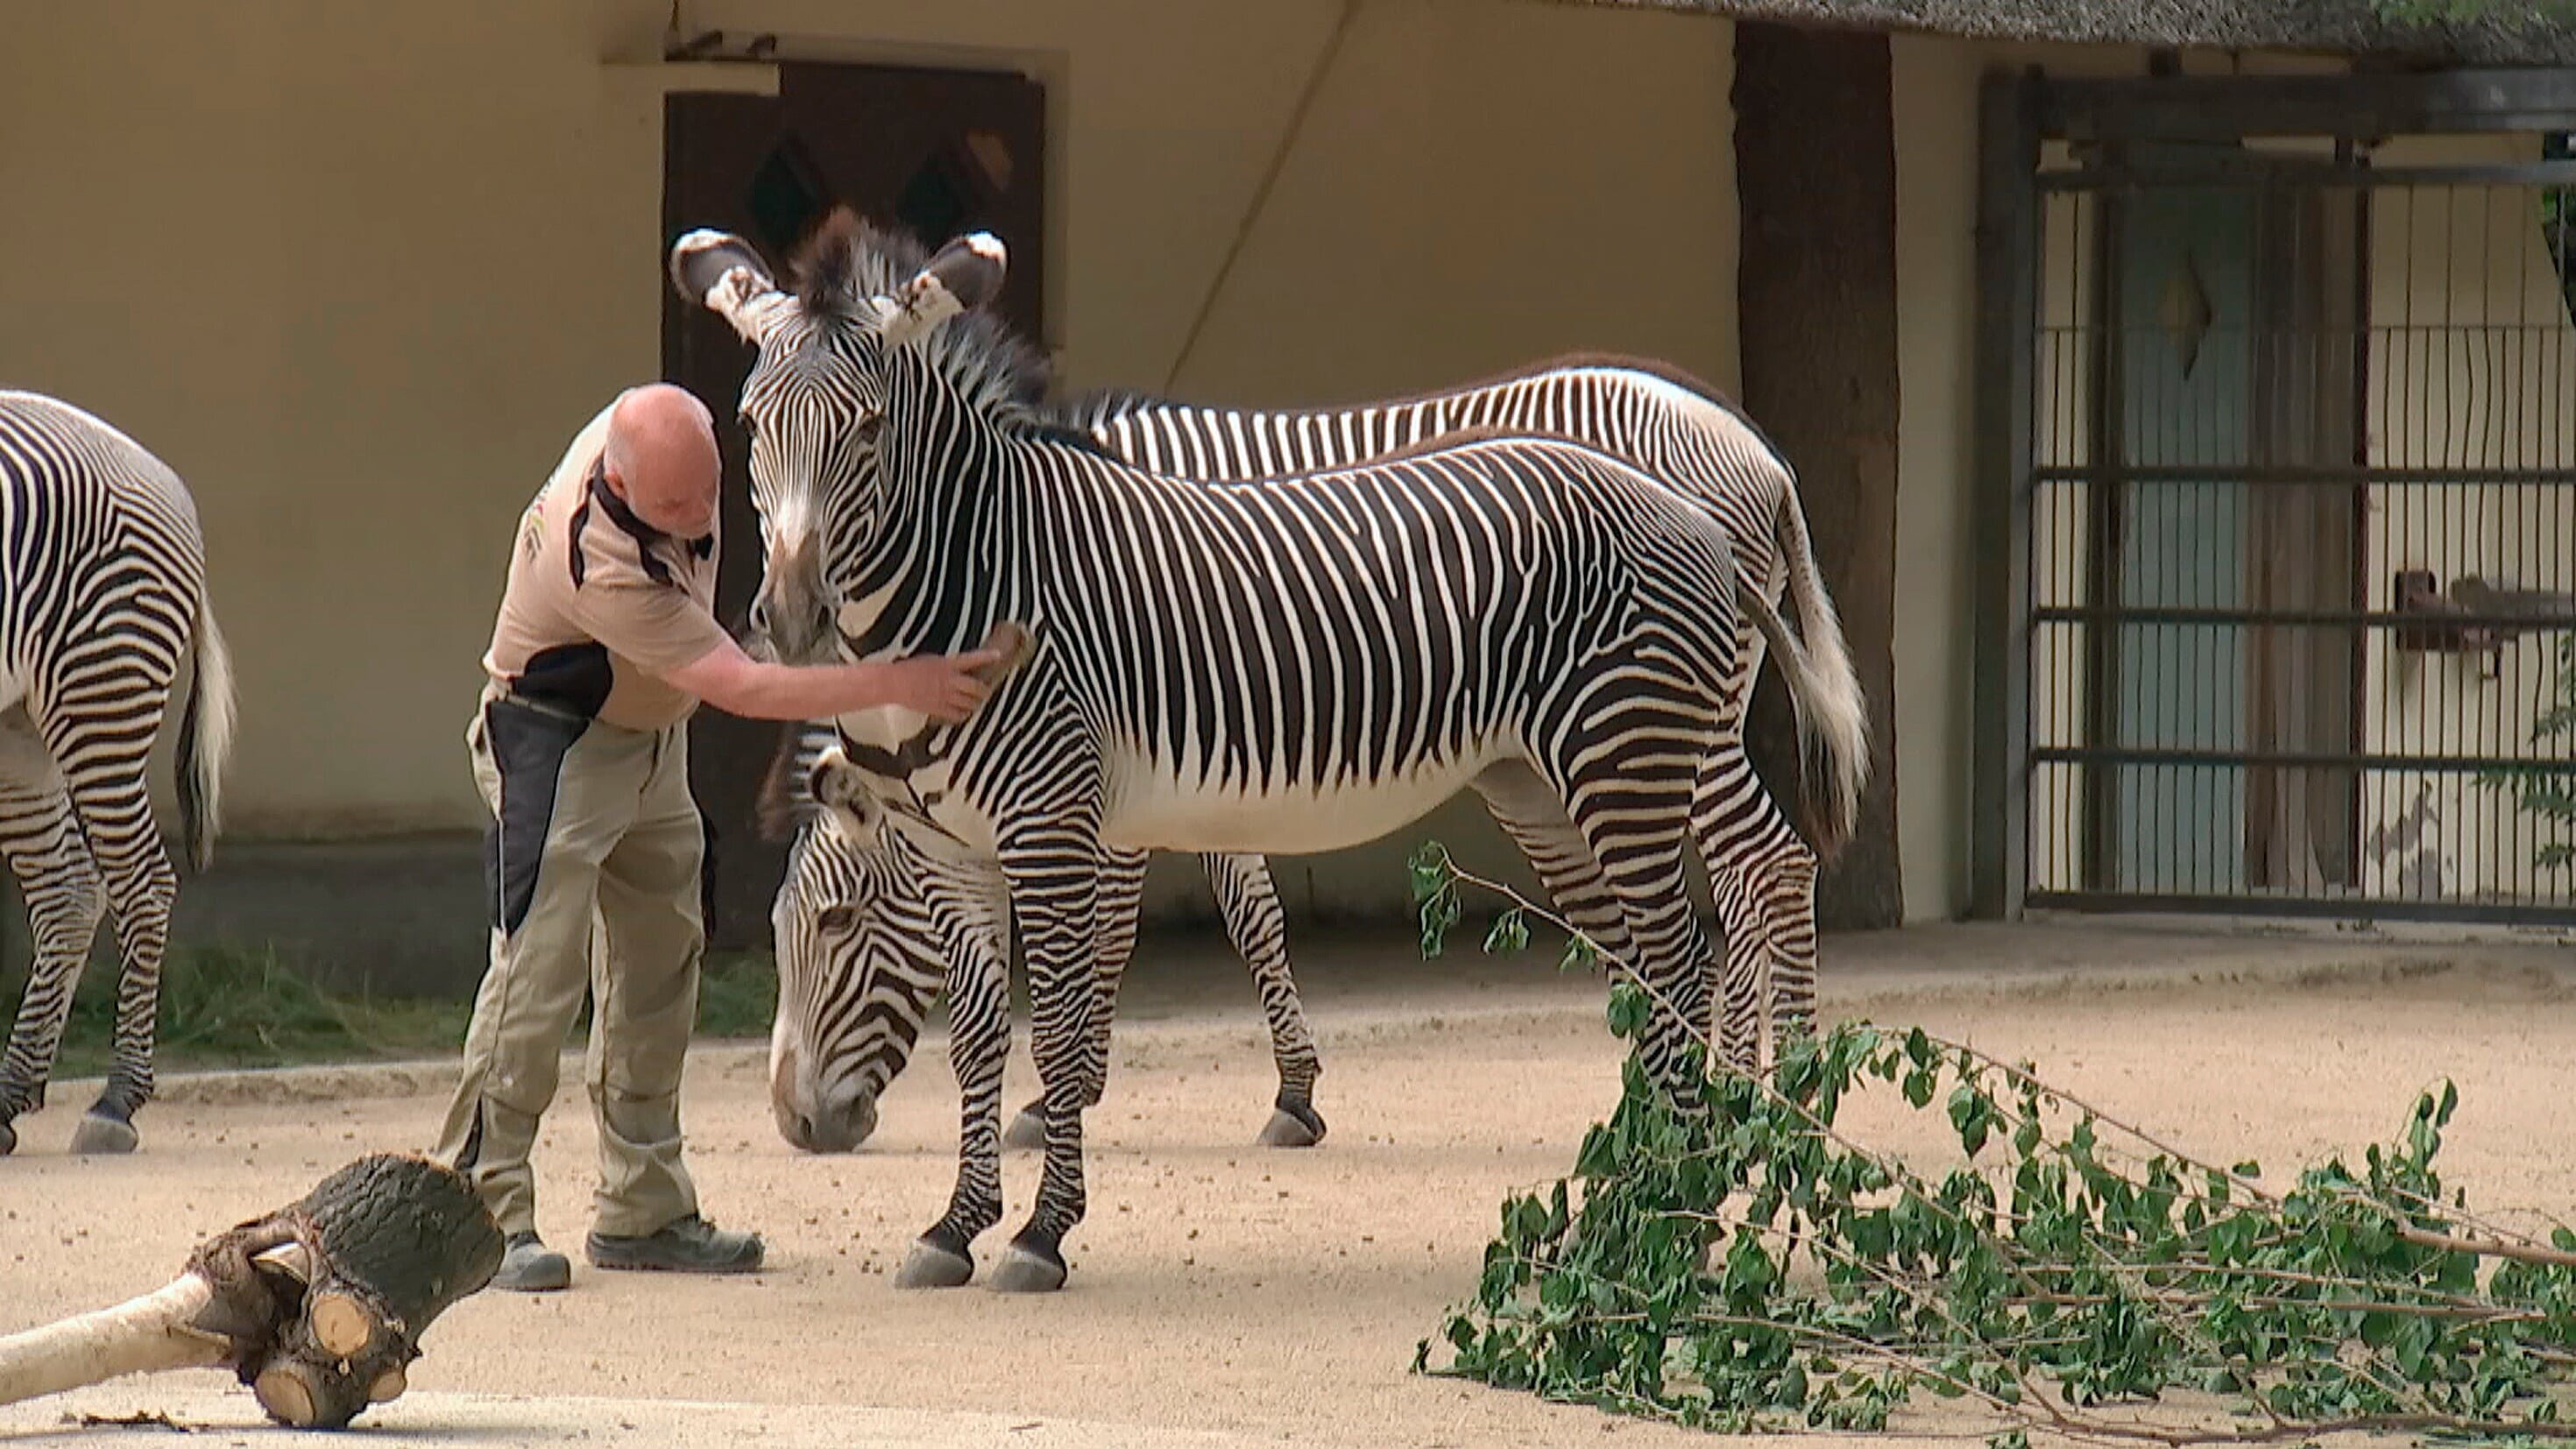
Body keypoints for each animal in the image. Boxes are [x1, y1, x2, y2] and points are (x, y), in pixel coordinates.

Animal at [0, 391, 237, 1163]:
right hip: (18, 727)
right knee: (68, 892)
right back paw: (8, 1098)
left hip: (100, 691)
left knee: (142, 882)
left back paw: (114, 1102)